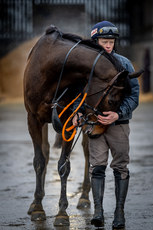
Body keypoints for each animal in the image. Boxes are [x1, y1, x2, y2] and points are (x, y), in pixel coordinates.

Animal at [23, 24, 142, 226]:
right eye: (112, 100)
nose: (101, 128)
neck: (50, 67)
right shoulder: (33, 119)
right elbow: (39, 161)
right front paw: (38, 207)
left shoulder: (68, 121)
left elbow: (64, 165)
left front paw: (62, 213)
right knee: (46, 152)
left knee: (88, 154)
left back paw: (85, 197)